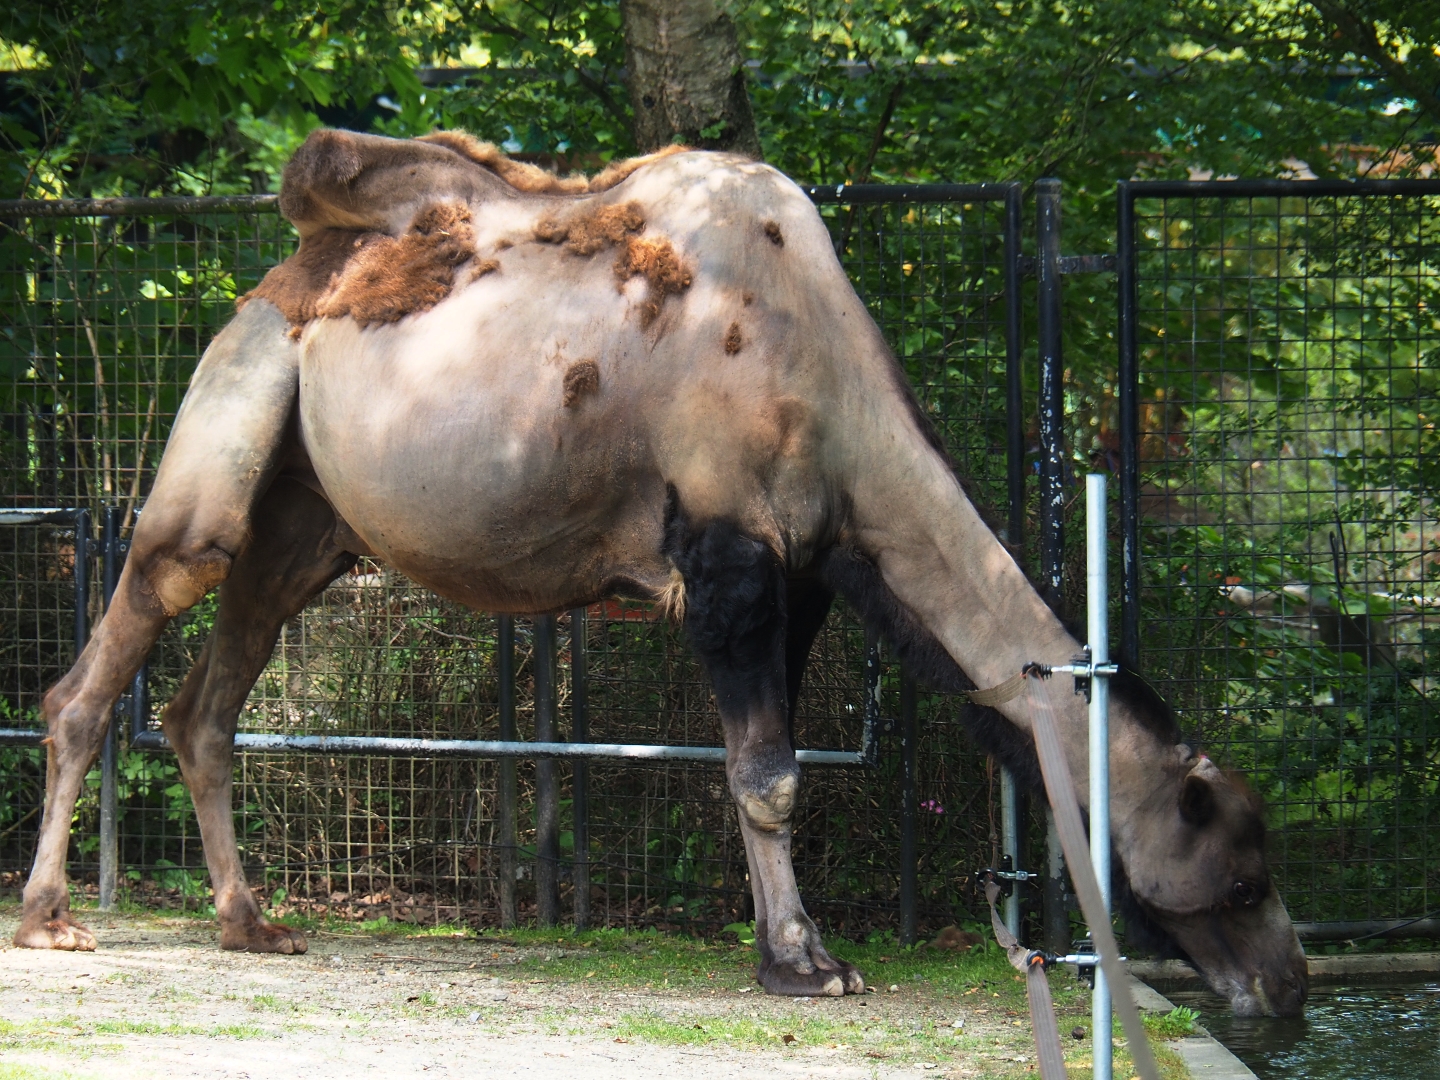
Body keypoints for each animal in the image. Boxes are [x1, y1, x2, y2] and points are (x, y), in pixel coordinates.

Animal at [15, 128, 1307, 1017]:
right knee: (125, 633)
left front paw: (786, 949)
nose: (1292, 988)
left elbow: (769, 770)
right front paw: (805, 964)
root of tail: (289, 276)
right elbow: (768, 777)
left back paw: (251, 924)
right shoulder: (729, 557)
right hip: (233, 408)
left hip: (311, 520)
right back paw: (49, 919)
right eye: (1241, 874)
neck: (829, 388)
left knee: (205, 703)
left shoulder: (804, 583)